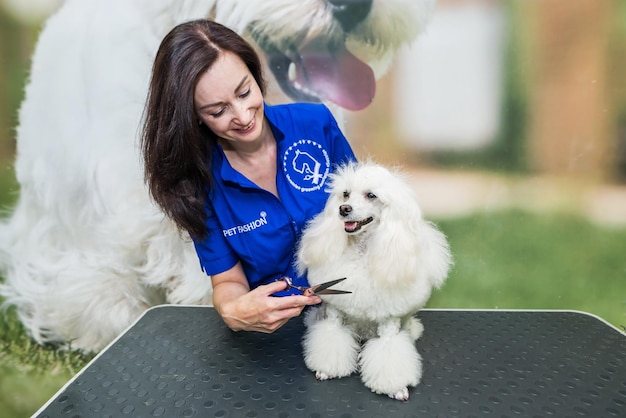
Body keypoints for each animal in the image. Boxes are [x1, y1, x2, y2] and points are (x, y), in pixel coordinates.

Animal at [296, 161, 448, 402]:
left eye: (371, 195)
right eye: (346, 194)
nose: (344, 209)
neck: (362, 250)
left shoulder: (389, 321)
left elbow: (389, 351)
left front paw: (395, 387)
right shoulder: (335, 311)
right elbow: (331, 337)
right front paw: (327, 368)